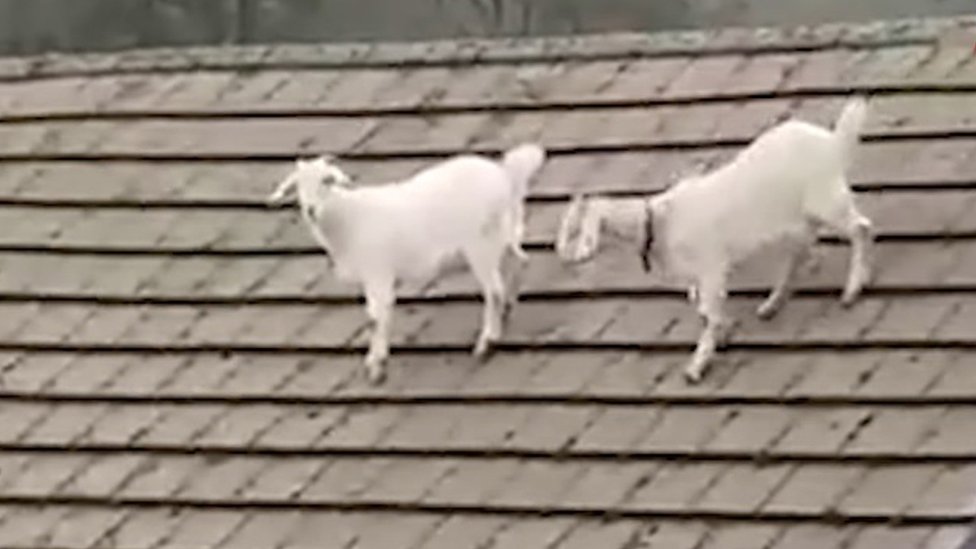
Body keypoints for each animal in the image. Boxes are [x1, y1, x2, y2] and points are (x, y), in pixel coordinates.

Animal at [268, 144, 547, 384]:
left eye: (327, 180)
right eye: (298, 185)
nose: (311, 210)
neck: (347, 218)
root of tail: (505, 177)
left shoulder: (377, 272)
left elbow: (375, 317)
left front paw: (376, 364)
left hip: (480, 244)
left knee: (494, 290)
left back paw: (488, 340)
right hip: (505, 234)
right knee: (518, 262)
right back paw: (507, 309)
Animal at [556, 98, 873, 383]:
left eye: (576, 230)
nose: (566, 256)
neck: (660, 222)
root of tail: (832, 142)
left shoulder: (710, 267)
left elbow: (709, 313)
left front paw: (698, 365)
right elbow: (708, 312)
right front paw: (721, 334)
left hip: (826, 199)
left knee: (861, 229)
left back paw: (852, 289)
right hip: (792, 223)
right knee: (800, 253)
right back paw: (772, 304)